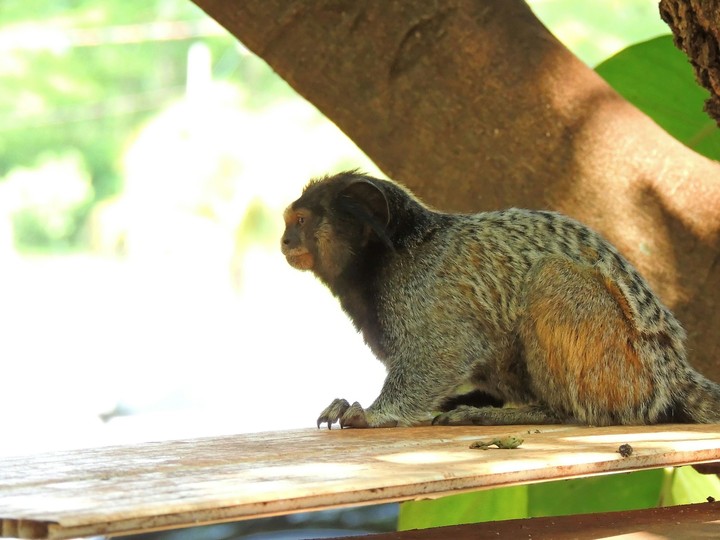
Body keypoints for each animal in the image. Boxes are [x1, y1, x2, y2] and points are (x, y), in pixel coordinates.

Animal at [280, 170, 720, 428]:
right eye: (289, 222)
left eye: (301, 221)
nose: (284, 241)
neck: (389, 256)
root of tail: (673, 370)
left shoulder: (425, 290)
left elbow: (444, 354)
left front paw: (374, 413)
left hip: (625, 369)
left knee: (550, 276)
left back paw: (539, 412)